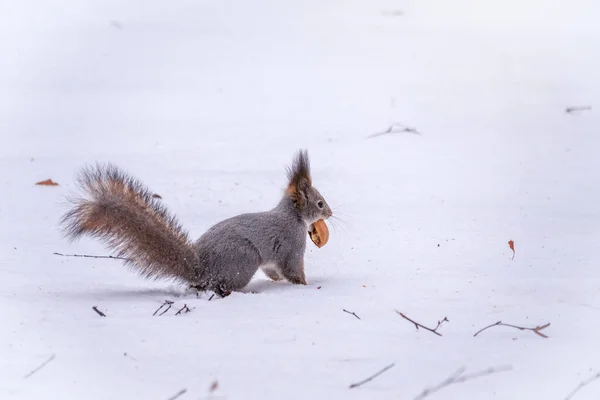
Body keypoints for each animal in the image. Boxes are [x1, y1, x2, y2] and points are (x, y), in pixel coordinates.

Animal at [61, 150, 332, 296]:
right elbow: (292, 268)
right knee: (222, 287)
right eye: (319, 203)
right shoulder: (291, 244)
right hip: (242, 260)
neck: (292, 216)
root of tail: (201, 268)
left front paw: (276, 280)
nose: (329, 213)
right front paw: (304, 286)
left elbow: (273, 270)